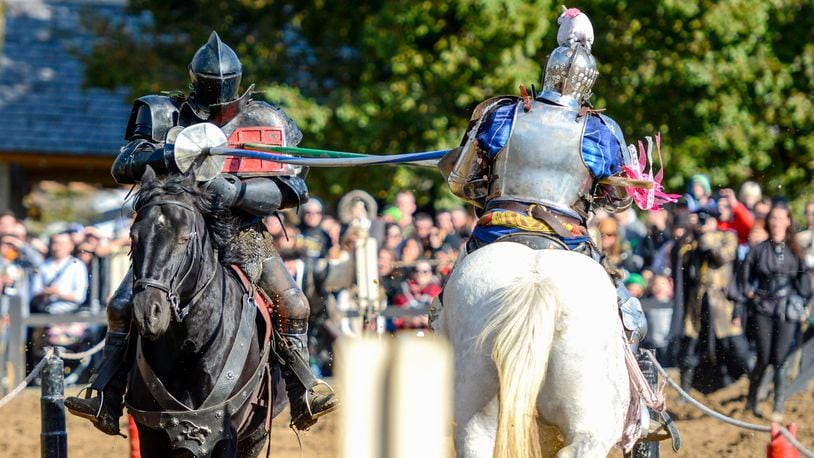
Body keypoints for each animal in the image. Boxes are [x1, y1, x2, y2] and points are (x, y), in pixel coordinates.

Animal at [126, 167, 288, 454]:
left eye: (183, 238)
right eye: (134, 236)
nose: (148, 312)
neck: (190, 345)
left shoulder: (226, 435)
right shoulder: (150, 435)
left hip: (256, 437)